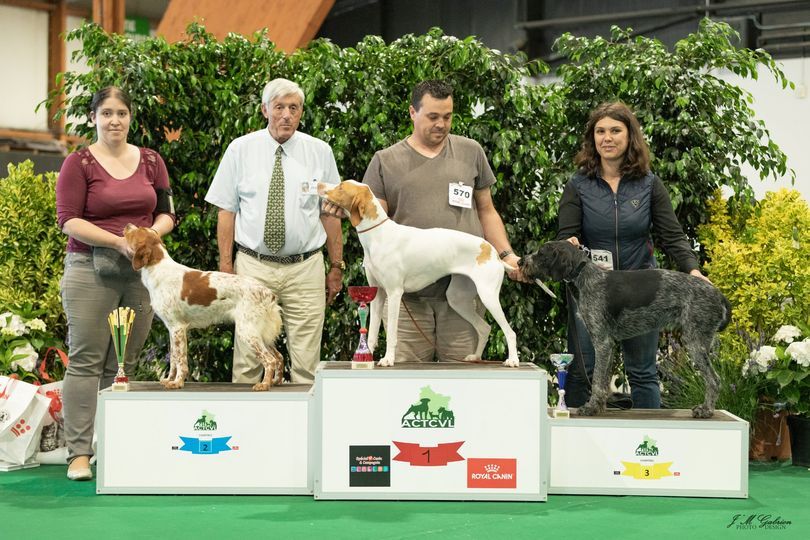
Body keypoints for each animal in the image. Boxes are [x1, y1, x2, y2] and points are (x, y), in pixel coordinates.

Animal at [121, 226, 282, 390]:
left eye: (136, 231)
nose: (127, 225)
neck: (159, 267)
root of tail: (268, 293)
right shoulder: (171, 328)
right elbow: (173, 358)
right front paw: (169, 379)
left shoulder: (178, 327)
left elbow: (180, 360)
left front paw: (177, 382)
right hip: (261, 333)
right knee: (279, 356)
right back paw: (275, 382)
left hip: (248, 331)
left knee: (270, 359)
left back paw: (264, 384)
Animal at [318, 181, 516, 368]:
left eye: (341, 187)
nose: (318, 184)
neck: (378, 234)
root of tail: (493, 252)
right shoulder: (378, 293)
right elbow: (372, 332)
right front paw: (368, 358)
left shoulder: (394, 293)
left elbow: (391, 333)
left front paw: (388, 359)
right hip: (458, 299)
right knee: (484, 328)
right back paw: (475, 356)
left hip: (488, 296)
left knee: (510, 332)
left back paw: (512, 360)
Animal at [520, 240, 728, 418]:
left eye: (541, 253)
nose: (521, 261)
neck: (584, 276)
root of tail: (718, 294)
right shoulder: (608, 345)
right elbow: (603, 380)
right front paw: (599, 406)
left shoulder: (602, 342)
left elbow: (596, 380)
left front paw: (591, 407)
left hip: (695, 342)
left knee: (715, 380)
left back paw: (706, 410)